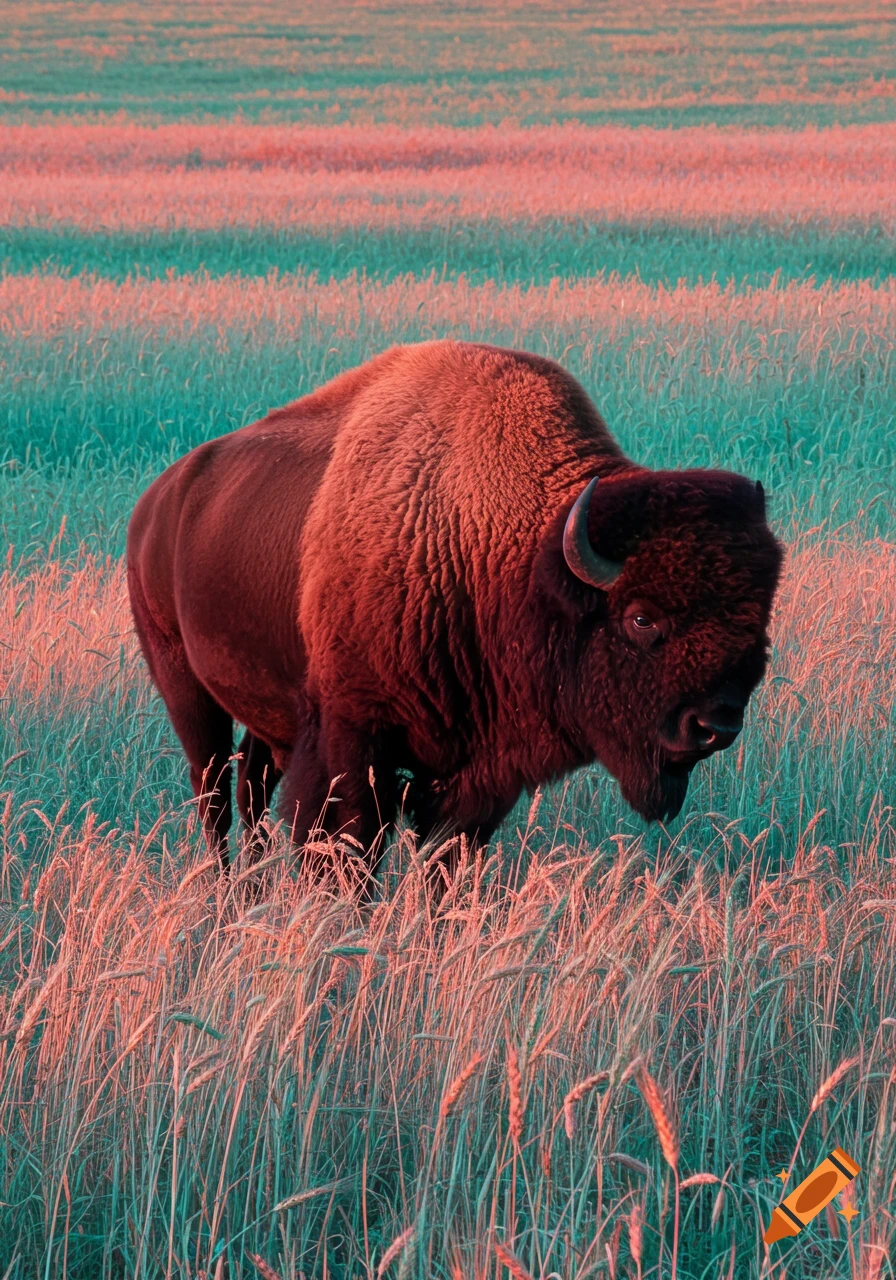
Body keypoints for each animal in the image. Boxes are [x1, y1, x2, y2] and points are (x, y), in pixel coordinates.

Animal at [127, 340, 783, 877]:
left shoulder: (479, 774)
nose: (714, 727)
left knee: (250, 785)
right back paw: (225, 894)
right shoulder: (352, 737)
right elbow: (349, 847)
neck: (502, 550)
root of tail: (156, 502)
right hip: (184, 685)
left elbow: (446, 859)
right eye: (642, 618)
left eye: (758, 629)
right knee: (214, 793)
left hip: (267, 710)